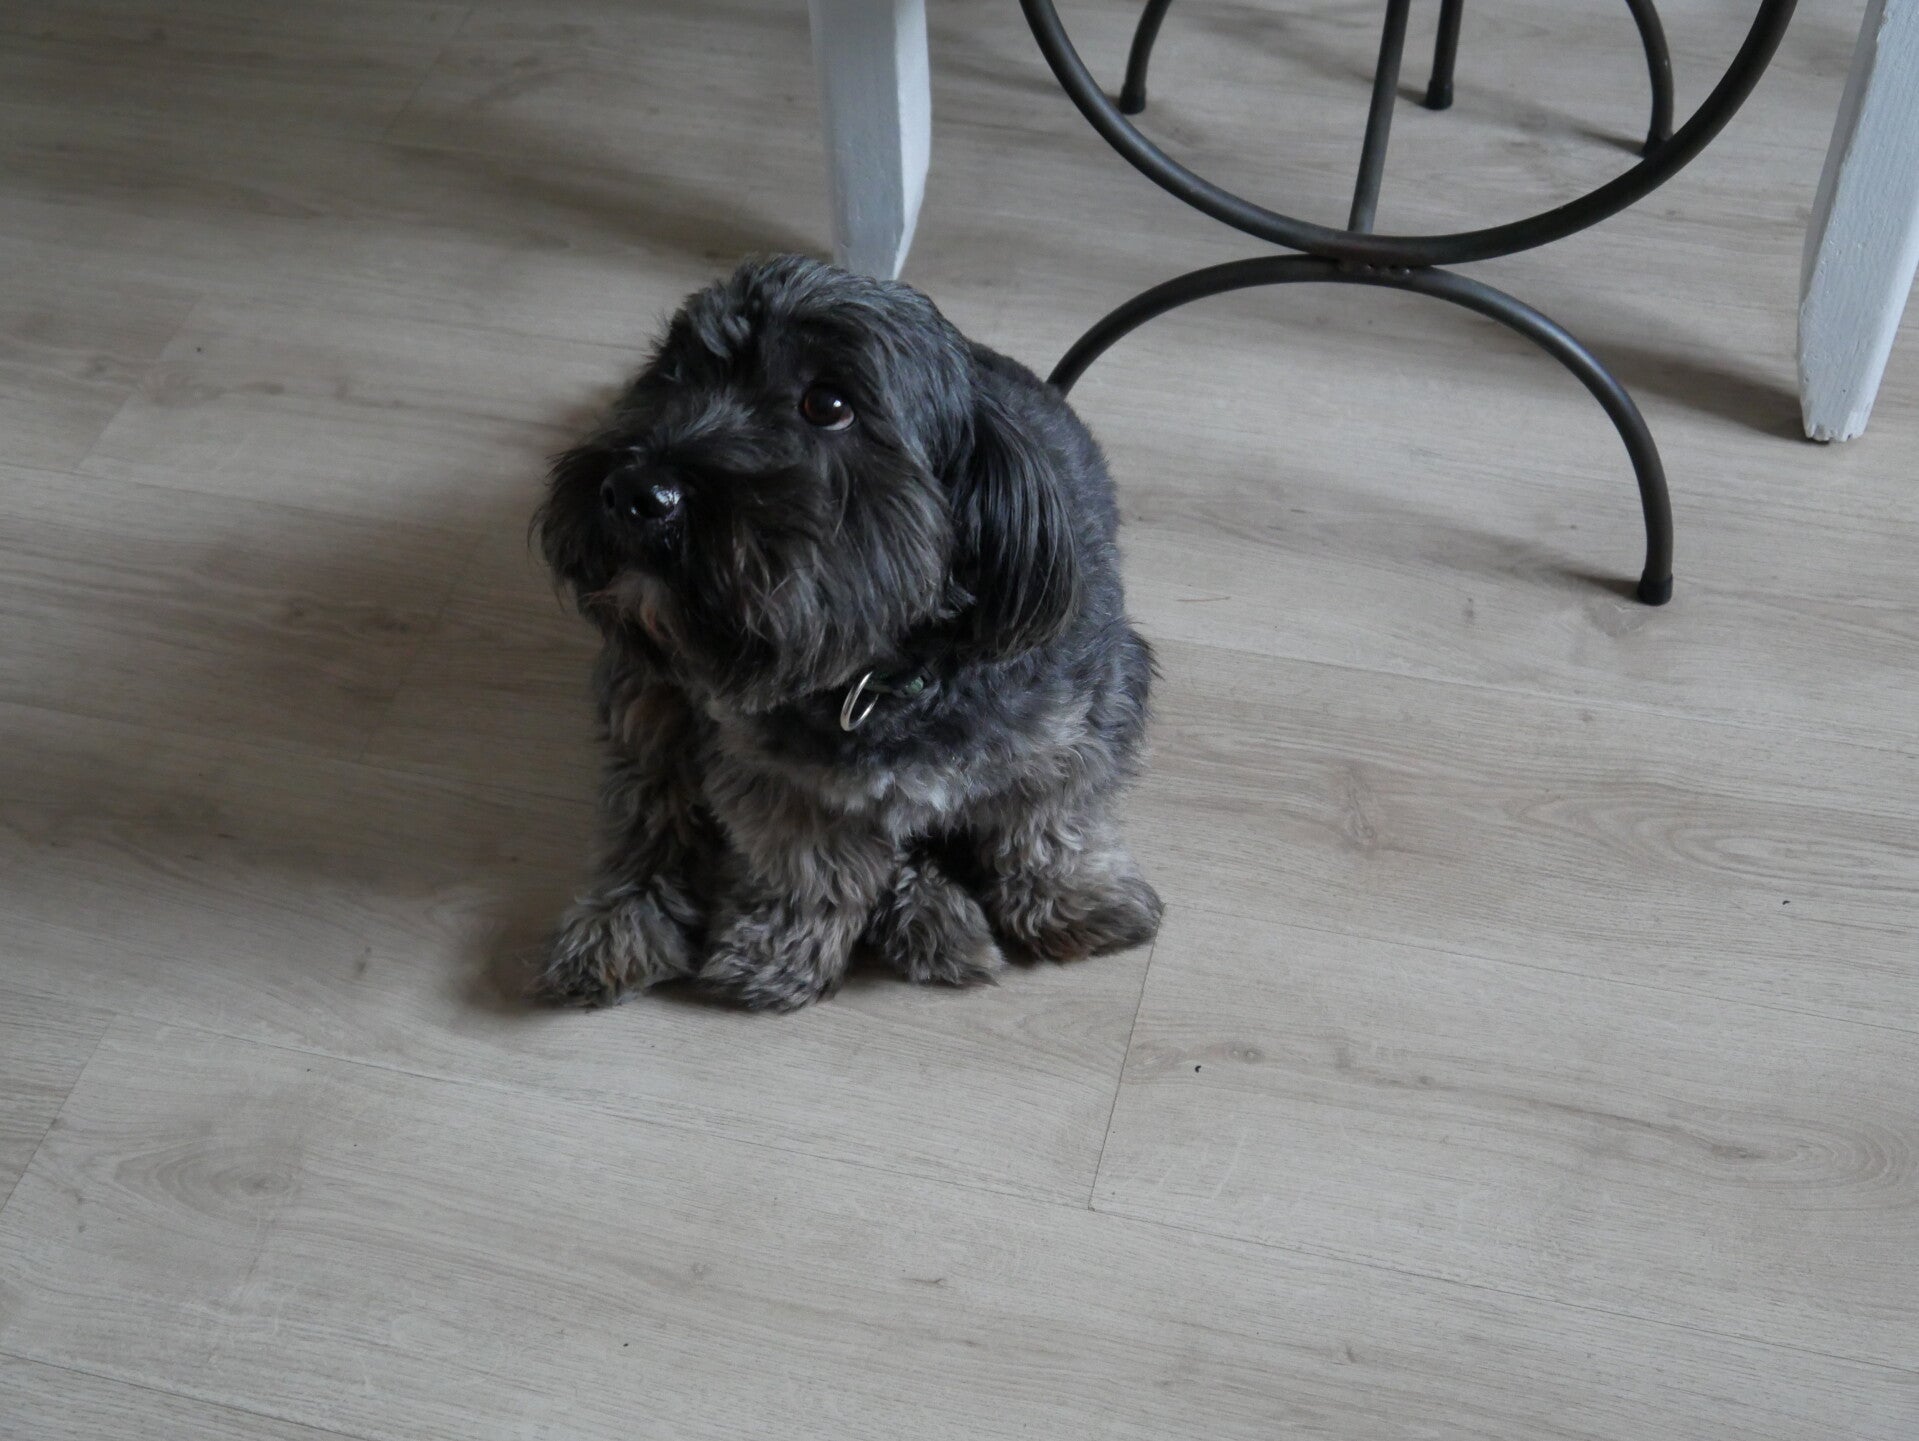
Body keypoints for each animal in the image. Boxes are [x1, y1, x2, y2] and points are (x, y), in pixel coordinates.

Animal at [532, 256, 1161, 1011]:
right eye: (674, 374)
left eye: (827, 405)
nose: (633, 490)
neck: (885, 672)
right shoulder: (775, 772)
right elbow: (810, 868)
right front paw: (782, 950)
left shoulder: (1083, 715)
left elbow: (1047, 820)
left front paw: (1073, 899)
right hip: (648, 690)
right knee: (650, 811)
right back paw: (621, 925)